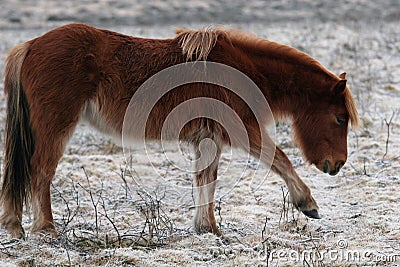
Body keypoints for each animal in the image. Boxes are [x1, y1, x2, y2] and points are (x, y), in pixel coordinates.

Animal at [0, 24, 360, 238]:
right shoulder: (242, 130)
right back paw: (45, 229)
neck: (244, 72)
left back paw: (16, 226)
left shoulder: (208, 138)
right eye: (340, 119)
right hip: (56, 127)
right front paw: (307, 203)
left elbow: (206, 180)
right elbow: (280, 160)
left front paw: (206, 228)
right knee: (40, 172)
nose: (337, 164)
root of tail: (29, 46)